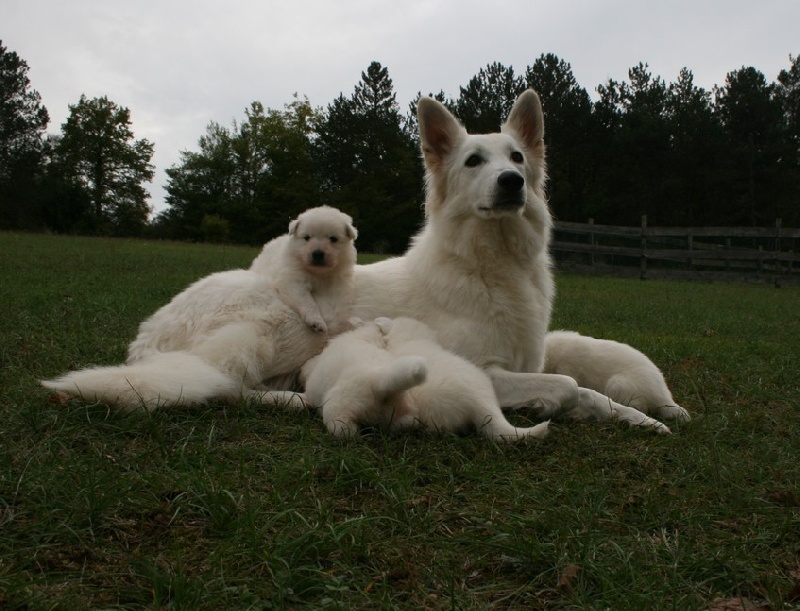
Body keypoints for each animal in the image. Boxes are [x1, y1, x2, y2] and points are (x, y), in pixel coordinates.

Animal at [252, 208, 358, 338]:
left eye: (333, 239)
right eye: (307, 237)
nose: (317, 254)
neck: (319, 273)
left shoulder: (338, 285)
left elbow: (333, 306)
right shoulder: (293, 280)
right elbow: (308, 302)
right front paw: (316, 322)